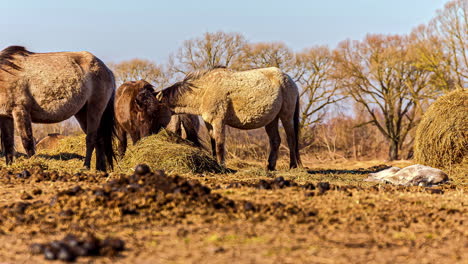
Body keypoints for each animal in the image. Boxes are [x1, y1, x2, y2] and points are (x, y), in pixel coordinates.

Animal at [156, 65, 304, 169]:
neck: (205, 90)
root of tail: (289, 80)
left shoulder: (219, 122)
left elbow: (220, 145)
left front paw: (222, 165)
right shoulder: (209, 123)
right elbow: (213, 143)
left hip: (286, 116)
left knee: (291, 139)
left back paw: (293, 166)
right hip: (271, 120)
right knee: (275, 141)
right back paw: (270, 167)